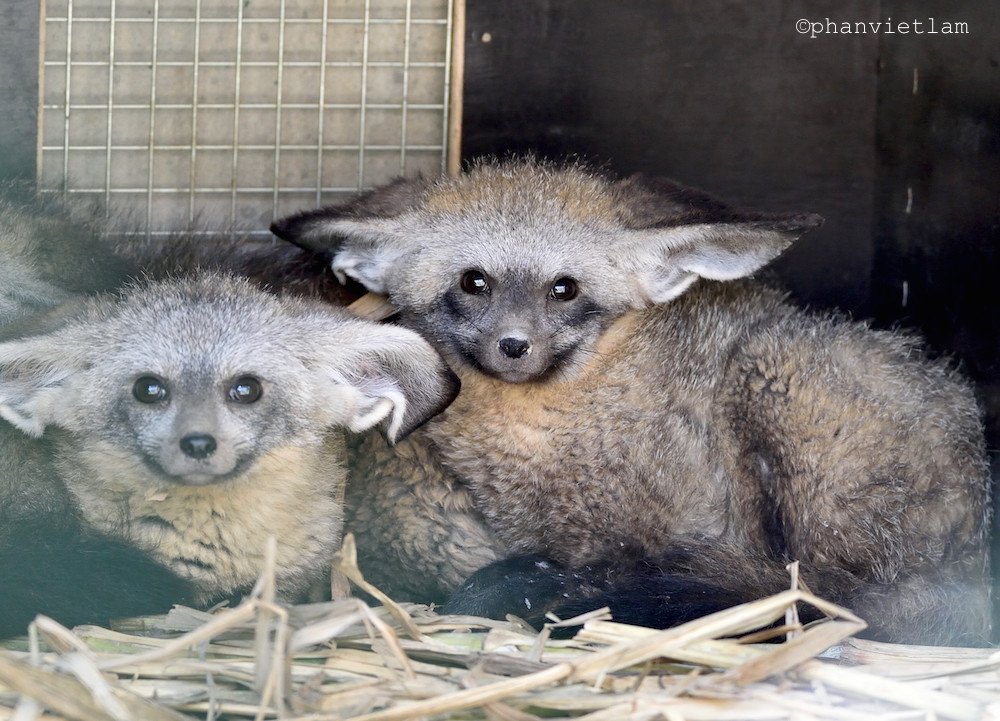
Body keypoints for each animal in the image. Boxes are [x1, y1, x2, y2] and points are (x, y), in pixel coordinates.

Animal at [272, 160, 992, 644]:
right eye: (474, 283)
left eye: (564, 288)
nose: (514, 346)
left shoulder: (683, 534)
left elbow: (653, 571)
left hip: (778, 369)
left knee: (833, 596)